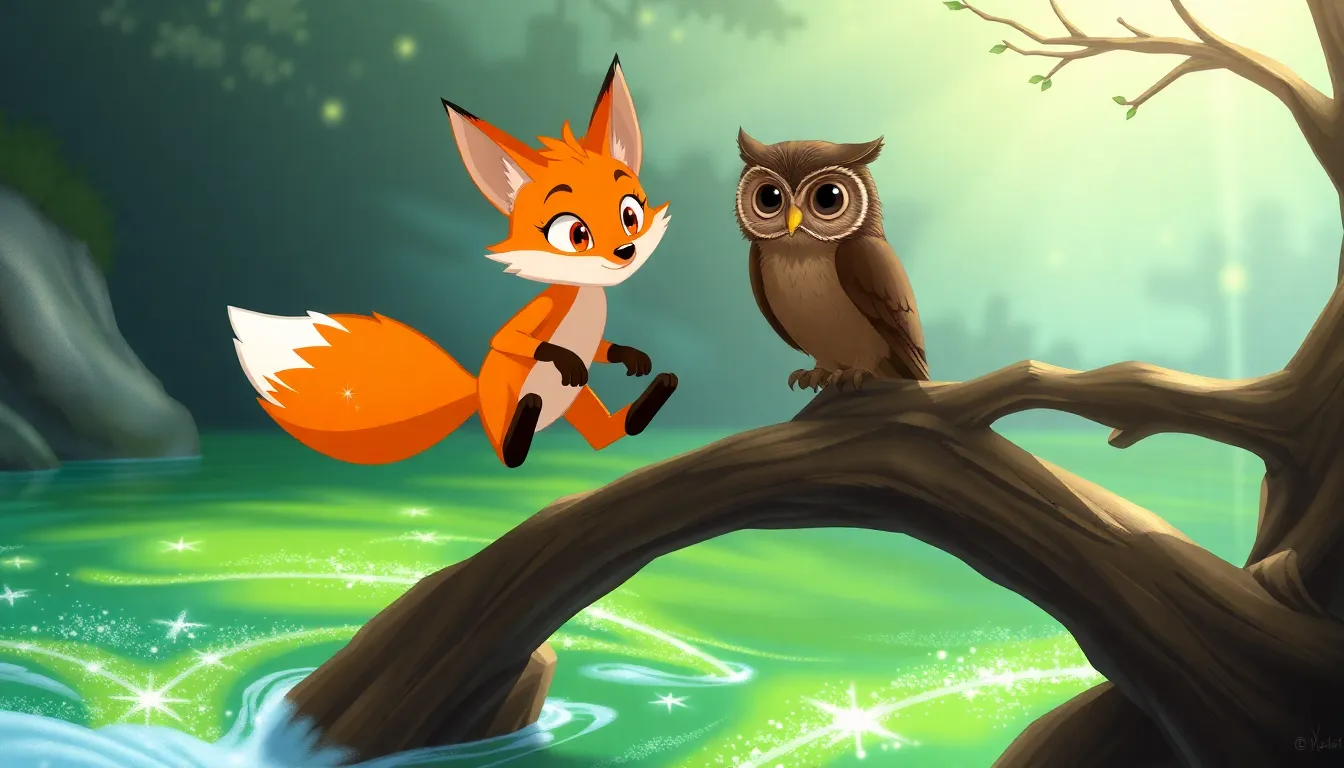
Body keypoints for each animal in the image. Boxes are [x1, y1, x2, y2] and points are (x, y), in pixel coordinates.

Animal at [227, 55, 677, 468]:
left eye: (630, 215)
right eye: (575, 234)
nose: (625, 252)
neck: (585, 295)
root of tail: (474, 391)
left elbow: (602, 348)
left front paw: (630, 356)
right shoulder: (546, 309)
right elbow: (509, 338)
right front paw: (564, 357)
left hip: (578, 401)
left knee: (603, 437)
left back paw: (647, 404)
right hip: (513, 400)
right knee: (510, 452)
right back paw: (522, 430)